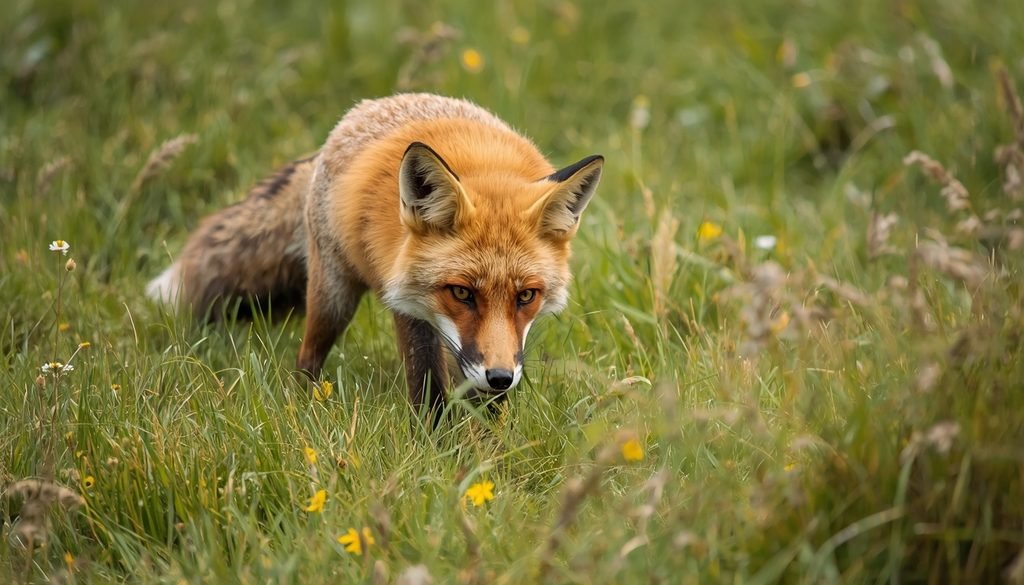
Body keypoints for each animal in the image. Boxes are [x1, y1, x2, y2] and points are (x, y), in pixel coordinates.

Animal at [147, 93, 603, 414]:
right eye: (462, 293)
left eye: (526, 296)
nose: (500, 378)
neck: (484, 168)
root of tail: (365, 109)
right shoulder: (409, 307)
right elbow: (426, 385)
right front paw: (434, 446)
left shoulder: (502, 348)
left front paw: (490, 450)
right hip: (333, 297)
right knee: (307, 355)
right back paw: (306, 405)